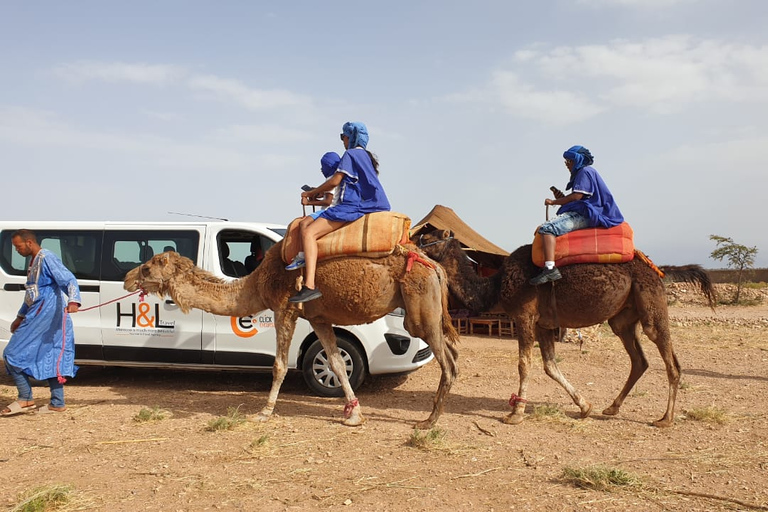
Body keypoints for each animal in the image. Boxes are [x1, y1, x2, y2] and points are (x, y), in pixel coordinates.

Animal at [125, 242, 460, 430]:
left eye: (146, 267)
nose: (127, 279)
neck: (257, 283)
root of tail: (436, 267)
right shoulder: (319, 318)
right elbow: (337, 364)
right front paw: (353, 414)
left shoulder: (285, 307)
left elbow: (279, 365)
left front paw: (263, 413)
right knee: (452, 356)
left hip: (419, 308)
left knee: (448, 363)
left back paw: (429, 422)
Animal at [414, 230, 712, 426]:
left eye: (426, 238)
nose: (409, 243)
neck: (496, 285)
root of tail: (659, 269)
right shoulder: (544, 324)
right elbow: (550, 366)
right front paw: (585, 406)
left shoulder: (524, 316)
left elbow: (524, 364)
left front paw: (515, 414)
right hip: (623, 319)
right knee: (639, 360)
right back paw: (611, 408)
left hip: (651, 305)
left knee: (670, 360)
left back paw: (665, 418)